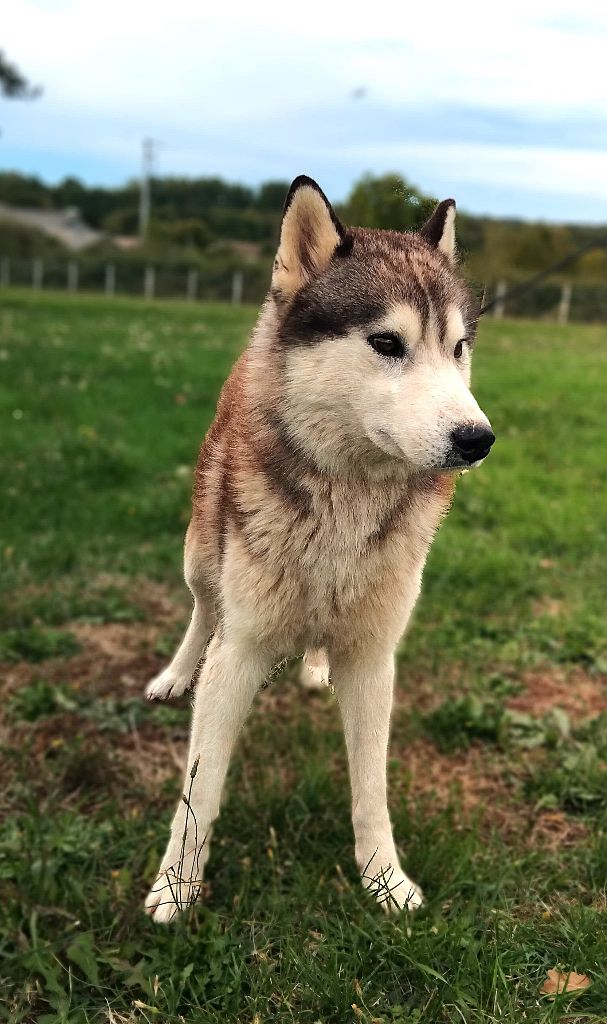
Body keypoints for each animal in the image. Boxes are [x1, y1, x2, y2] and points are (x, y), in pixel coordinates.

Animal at [144, 174, 495, 921]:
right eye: (386, 342)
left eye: (457, 347)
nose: (478, 439)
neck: (345, 502)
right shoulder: (238, 653)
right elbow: (199, 791)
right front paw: (176, 887)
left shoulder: (374, 657)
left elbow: (371, 790)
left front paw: (385, 879)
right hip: (200, 557)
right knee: (202, 612)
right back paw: (174, 674)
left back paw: (312, 666)